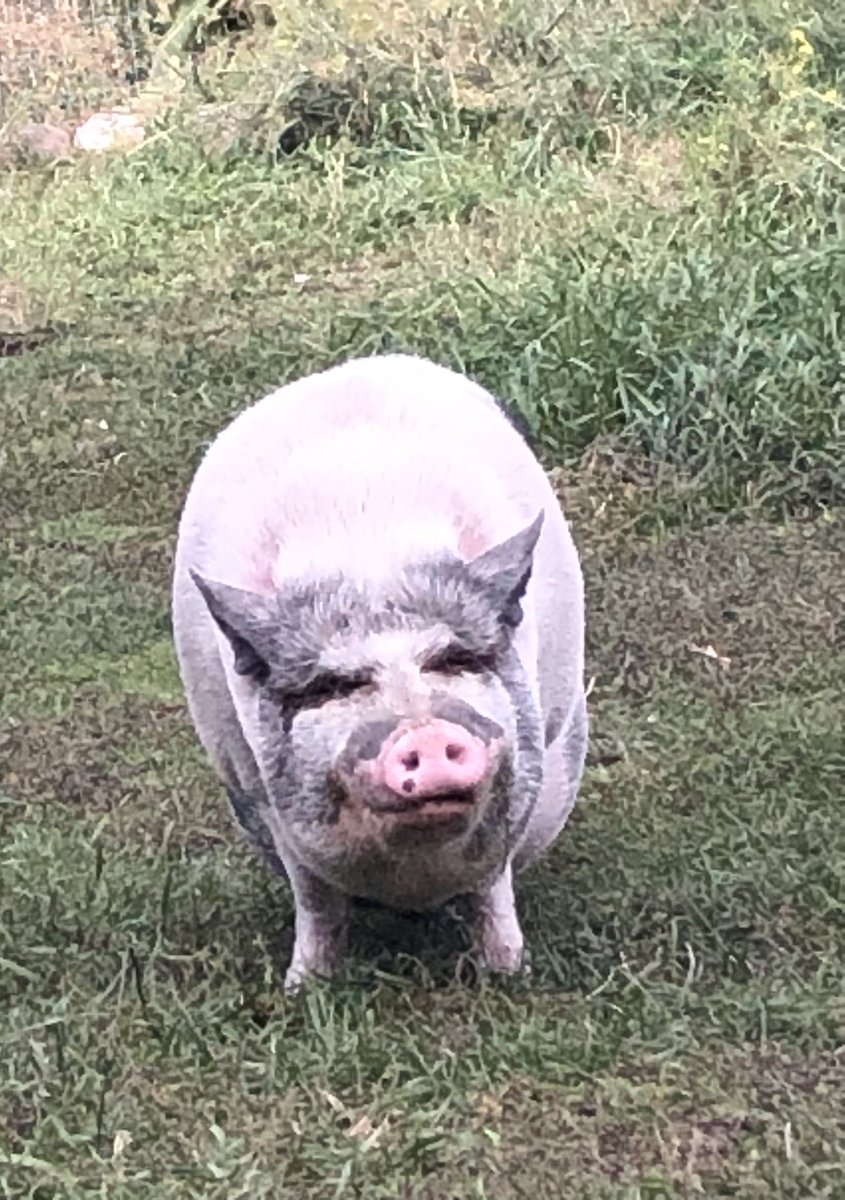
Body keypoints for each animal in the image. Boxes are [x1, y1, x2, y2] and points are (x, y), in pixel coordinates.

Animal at [171, 353, 587, 990]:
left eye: (455, 660)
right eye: (334, 686)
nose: (426, 733)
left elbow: (492, 885)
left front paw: (510, 975)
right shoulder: (264, 795)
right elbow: (314, 899)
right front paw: (303, 988)